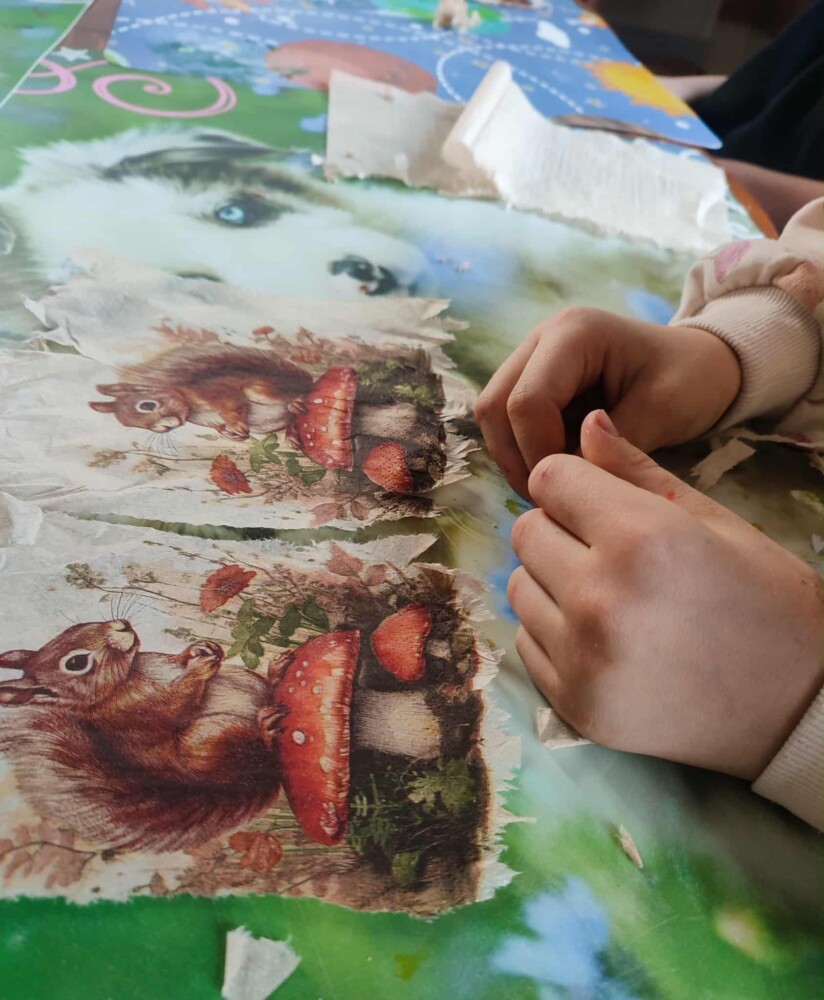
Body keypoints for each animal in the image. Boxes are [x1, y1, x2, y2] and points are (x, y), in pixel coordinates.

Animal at [0, 620, 284, 852]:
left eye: (74, 627)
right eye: (76, 663)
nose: (121, 625)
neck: (129, 674)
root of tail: (250, 783)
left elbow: (178, 661)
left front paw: (198, 650)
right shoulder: (138, 709)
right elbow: (177, 702)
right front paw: (198, 667)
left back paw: (276, 672)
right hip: (211, 739)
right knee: (262, 751)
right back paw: (266, 726)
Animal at [89, 344, 313, 441]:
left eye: (147, 405)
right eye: (134, 425)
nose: (163, 428)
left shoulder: (218, 393)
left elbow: (232, 406)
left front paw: (236, 425)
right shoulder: (212, 422)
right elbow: (222, 428)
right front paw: (234, 435)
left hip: (259, 389)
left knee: (292, 396)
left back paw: (296, 401)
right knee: (292, 420)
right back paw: (292, 436)